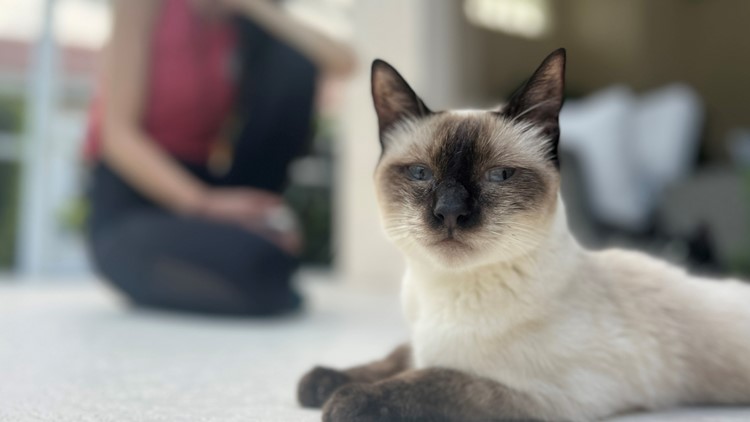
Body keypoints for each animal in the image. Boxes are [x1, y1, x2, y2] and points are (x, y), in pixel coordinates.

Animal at [296, 47, 750, 420]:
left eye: (499, 176)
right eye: (420, 174)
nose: (450, 212)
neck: (441, 292)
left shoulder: (545, 396)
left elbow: (438, 380)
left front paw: (347, 400)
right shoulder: (421, 344)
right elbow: (399, 354)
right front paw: (323, 381)